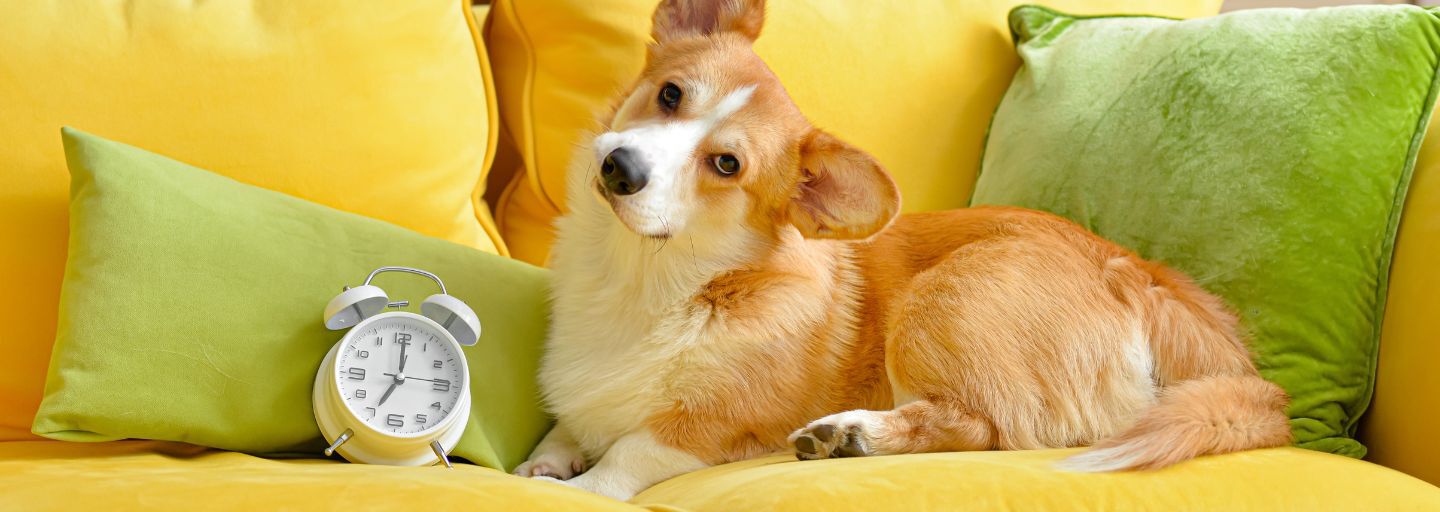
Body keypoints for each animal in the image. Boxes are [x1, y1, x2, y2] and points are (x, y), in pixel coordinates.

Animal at [518, 0, 1296, 500]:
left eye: (727, 165)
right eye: (671, 93)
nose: (621, 167)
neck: (639, 277)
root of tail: (1139, 273)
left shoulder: (714, 426)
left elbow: (631, 451)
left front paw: (583, 487)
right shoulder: (579, 405)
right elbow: (563, 431)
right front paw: (542, 467)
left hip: (942, 301)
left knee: (984, 426)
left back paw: (852, 434)